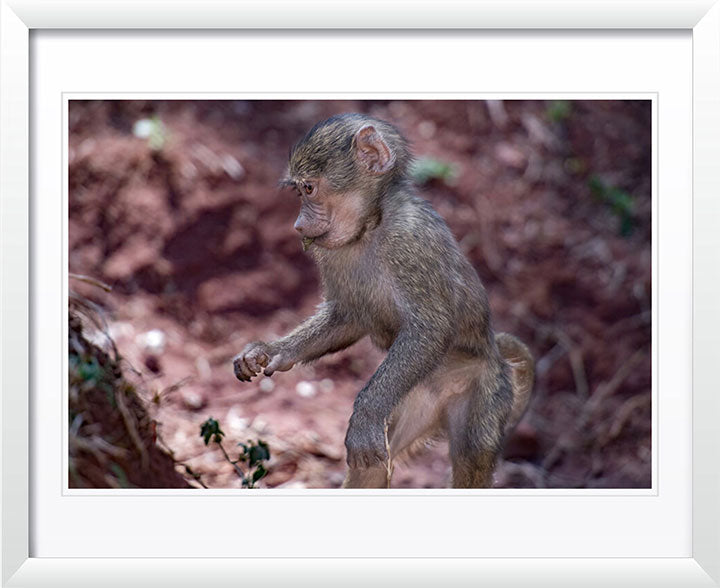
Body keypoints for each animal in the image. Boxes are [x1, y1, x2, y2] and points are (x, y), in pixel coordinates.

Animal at [233, 113, 534, 488]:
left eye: (309, 188)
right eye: (300, 191)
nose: (298, 225)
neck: (371, 226)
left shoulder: (409, 239)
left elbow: (431, 328)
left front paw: (363, 417)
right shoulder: (330, 253)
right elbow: (347, 317)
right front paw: (270, 352)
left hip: (482, 387)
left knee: (472, 456)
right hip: (410, 401)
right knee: (374, 466)